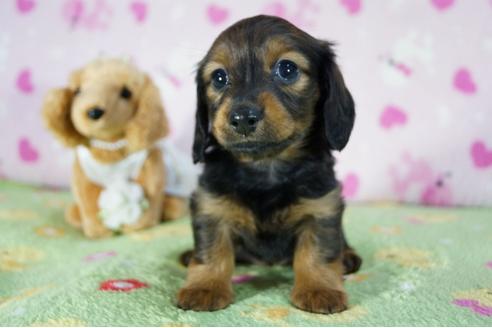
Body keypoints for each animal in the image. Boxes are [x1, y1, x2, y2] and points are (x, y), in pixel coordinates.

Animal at [177, 16, 362, 316]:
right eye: (219, 77)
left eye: (287, 69)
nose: (242, 117)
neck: (265, 167)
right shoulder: (211, 205)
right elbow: (212, 250)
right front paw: (205, 287)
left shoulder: (321, 207)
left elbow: (317, 252)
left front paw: (319, 289)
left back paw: (347, 256)